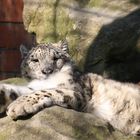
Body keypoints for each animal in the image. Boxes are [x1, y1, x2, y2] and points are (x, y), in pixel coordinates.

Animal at [0, 40, 140, 136]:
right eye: (35, 60)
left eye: (56, 58)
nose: (47, 71)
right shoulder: (33, 87)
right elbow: (20, 91)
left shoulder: (79, 92)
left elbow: (47, 91)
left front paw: (17, 106)